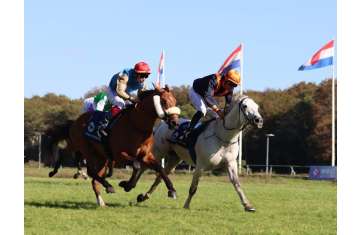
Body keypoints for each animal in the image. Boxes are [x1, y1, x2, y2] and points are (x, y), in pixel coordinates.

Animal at [45, 86, 180, 206]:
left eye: (175, 101)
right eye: (163, 101)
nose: (175, 123)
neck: (137, 126)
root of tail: (75, 122)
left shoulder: (146, 155)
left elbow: (159, 168)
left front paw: (172, 190)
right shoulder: (120, 155)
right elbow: (136, 165)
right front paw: (126, 185)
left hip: (100, 156)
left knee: (93, 176)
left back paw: (101, 200)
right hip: (87, 150)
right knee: (87, 168)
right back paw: (107, 186)